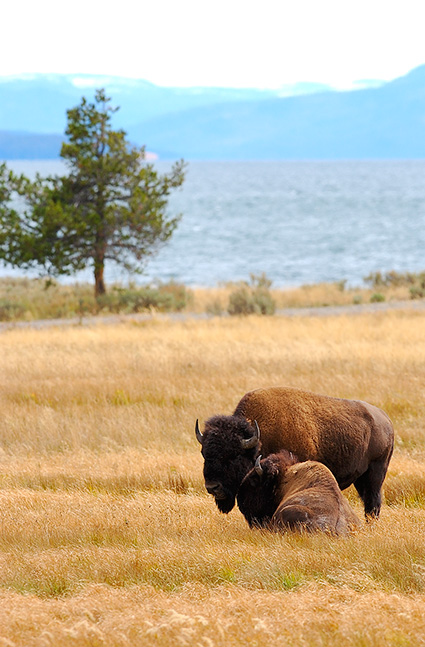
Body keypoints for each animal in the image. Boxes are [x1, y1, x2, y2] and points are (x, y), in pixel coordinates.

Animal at [195, 388, 394, 520]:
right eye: (204, 454)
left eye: (233, 456)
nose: (212, 487)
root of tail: (386, 419)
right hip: (360, 478)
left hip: (376, 472)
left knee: (373, 502)